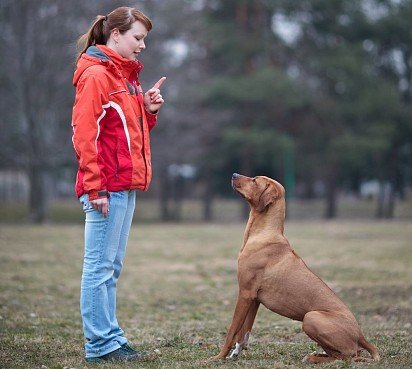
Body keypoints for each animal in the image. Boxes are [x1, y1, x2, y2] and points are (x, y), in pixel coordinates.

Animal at [211, 173, 382, 362]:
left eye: (255, 180)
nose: (234, 174)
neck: (264, 234)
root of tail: (361, 335)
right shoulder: (254, 299)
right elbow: (244, 332)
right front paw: (235, 353)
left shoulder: (245, 293)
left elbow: (232, 330)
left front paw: (218, 357)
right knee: (345, 353)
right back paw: (316, 355)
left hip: (311, 317)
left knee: (347, 355)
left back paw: (313, 358)